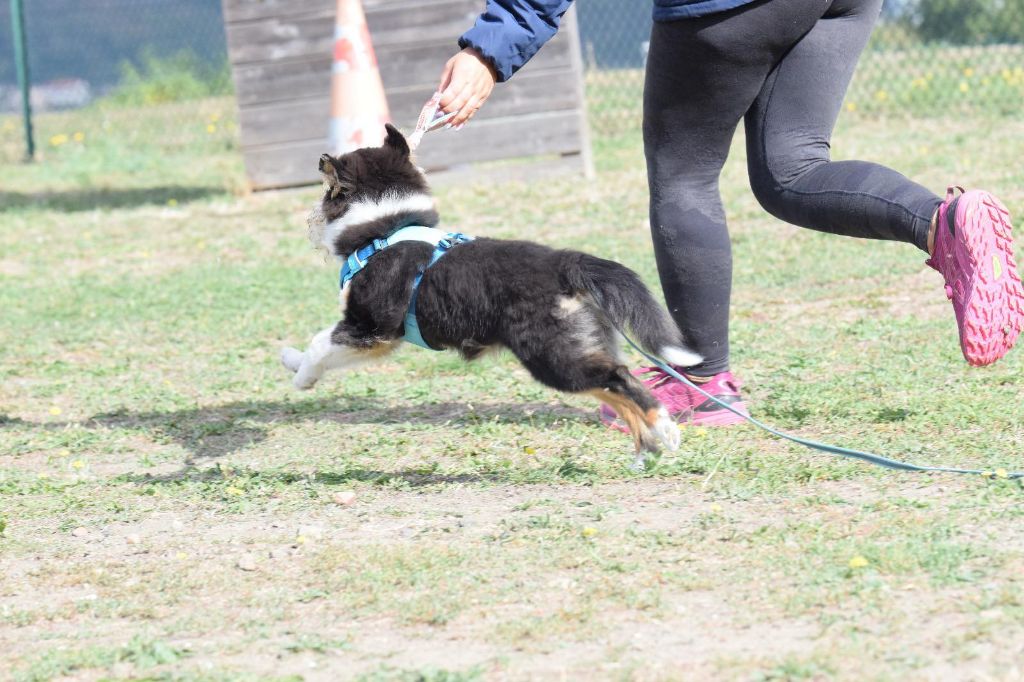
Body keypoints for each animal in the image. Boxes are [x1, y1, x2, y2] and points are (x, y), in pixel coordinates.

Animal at [282, 123, 696, 466]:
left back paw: (665, 428)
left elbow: (320, 343)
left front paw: (302, 377)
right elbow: (319, 345)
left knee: (619, 378)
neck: (385, 228)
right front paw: (291, 360)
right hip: (580, 345)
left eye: (327, 190)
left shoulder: (371, 327)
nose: (308, 221)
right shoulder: (376, 335)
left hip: (552, 354)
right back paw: (646, 450)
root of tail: (564, 262)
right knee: (613, 387)